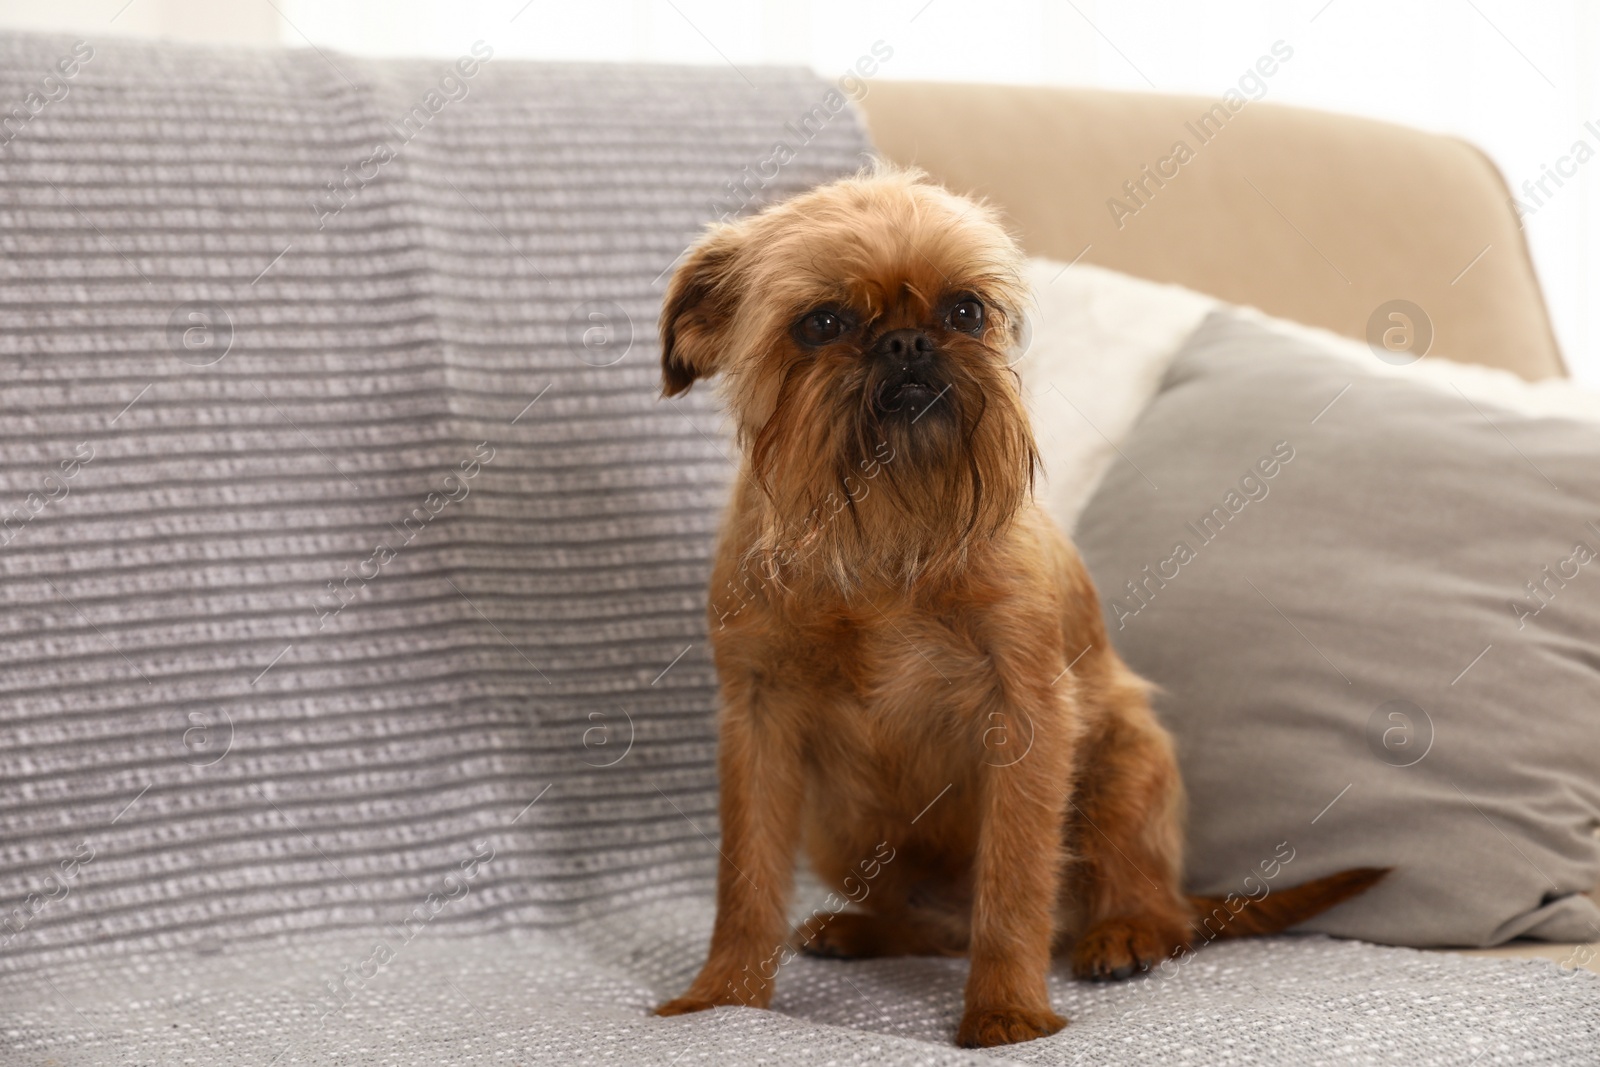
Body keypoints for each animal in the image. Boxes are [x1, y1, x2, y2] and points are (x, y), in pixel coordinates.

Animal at [656, 168, 1382, 1049]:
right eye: (821, 323)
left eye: (966, 310)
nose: (907, 342)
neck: (884, 528)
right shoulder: (757, 721)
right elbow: (746, 877)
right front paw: (722, 997)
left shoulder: (1027, 714)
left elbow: (1013, 881)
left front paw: (1005, 1013)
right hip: (839, 826)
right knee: (935, 928)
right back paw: (862, 929)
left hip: (1127, 761)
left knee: (1151, 910)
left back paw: (1125, 932)